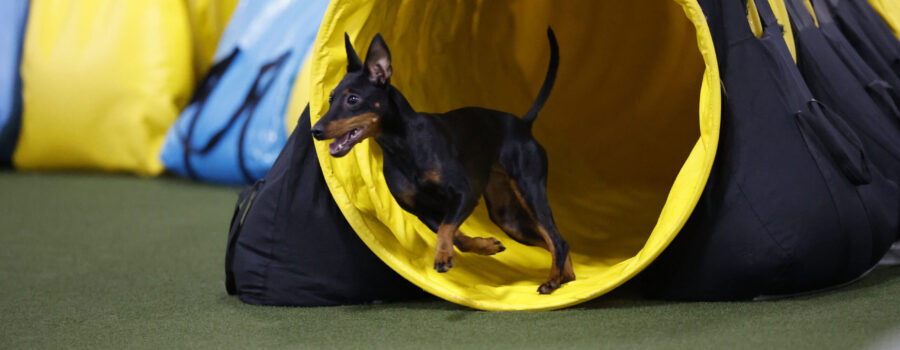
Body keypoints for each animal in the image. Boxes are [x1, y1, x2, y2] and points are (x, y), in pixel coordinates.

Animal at [312, 28, 572, 294]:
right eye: (331, 98)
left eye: (353, 100)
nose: (315, 131)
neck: (403, 145)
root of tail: (523, 124)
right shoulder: (422, 211)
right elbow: (455, 236)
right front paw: (484, 246)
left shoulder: (465, 195)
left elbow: (447, 228)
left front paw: (443, 257)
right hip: (507, 218)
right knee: (554, 241)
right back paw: (566, 277)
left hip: (530, 192)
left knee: (557, 239)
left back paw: (552, 281)